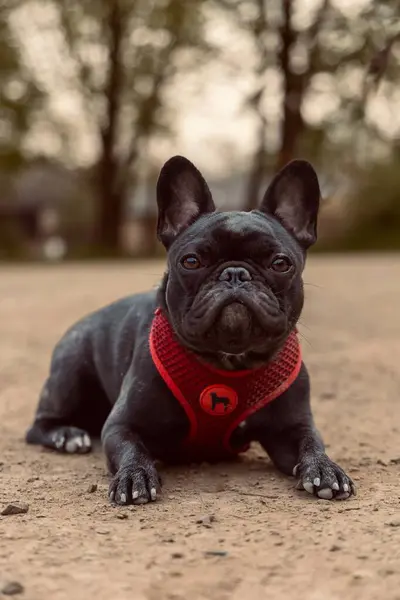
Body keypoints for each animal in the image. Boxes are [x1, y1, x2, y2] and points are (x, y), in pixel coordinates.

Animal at [26, 157, 354, 504]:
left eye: (280, 263)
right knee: (39, 424)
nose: (235, 273)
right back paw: (67, 435)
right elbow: (131, 449)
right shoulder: (121, 424)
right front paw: (134, 475)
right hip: (71, 374)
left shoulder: (290, 429)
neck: (228, 361)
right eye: (191, 261)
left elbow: (311, 443)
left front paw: (325, 469)